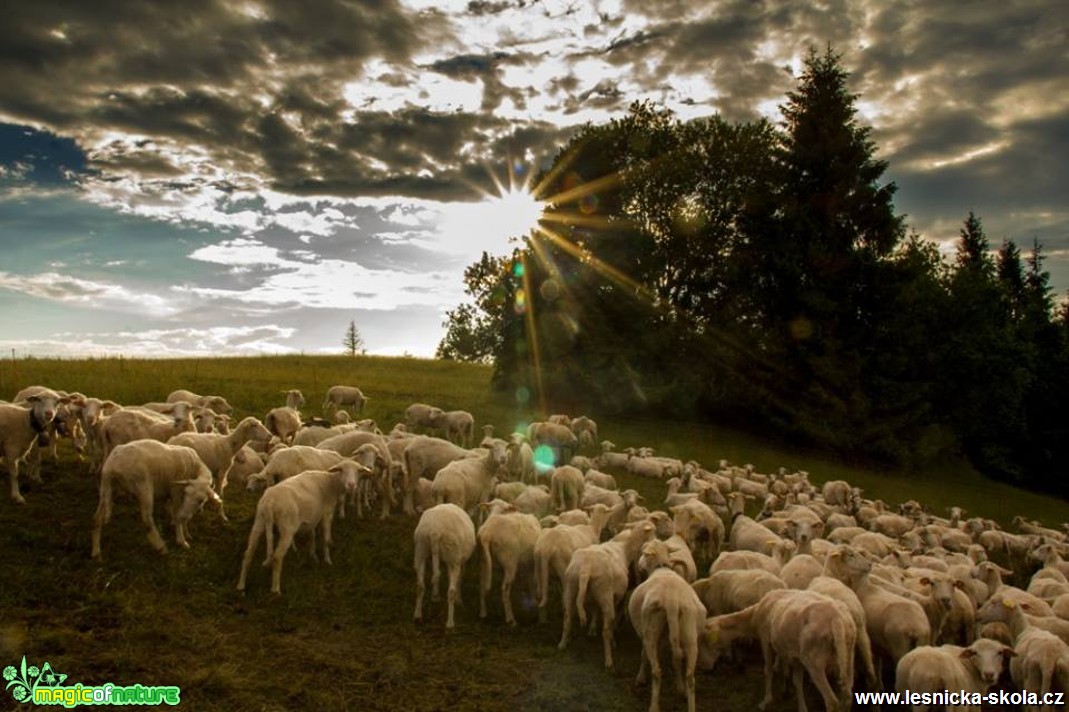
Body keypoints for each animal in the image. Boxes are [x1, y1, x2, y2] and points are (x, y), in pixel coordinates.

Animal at [91, 438, 223, 560]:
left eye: (201, 500)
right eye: (186, 494)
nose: (183, 516)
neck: (196, 466)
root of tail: (112, 465)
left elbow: (174, 512)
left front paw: (184, 530)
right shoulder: (175, 492)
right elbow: (177, 514)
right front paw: (181, 539)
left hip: (107, 489)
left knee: (97, 518)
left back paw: (96, 552)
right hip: (143, 485)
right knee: (147, 519)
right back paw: (161, 547)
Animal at [234, 455, 367, 594]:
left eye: (358, 471)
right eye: (342, 470)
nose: (351, 485)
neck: (331, 482)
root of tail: (270, 503)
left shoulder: (312, 516)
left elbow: (312, 535)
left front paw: (313, 555)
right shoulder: (327, 512)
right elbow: (326, 539)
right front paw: (328, 560)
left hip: (259, 521)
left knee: (248, 553)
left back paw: (241, 586)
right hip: (287, 528)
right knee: (277, 557)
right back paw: (275, 590)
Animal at [410, 498, 474, 628]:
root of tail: (435, 531)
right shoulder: (459, 561)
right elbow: (459, 580)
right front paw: (459, 601)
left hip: (421, 548)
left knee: (420, 585)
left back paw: (418, 615)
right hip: (453, 557)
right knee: (450, 592)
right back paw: (450, 624)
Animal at [478, 496, 543, 624]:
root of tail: (487, 534)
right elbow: (533, 581)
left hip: (484, 561)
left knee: (482, 585)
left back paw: (483, 613)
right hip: (510, 563)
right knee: (505, 589)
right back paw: (511, 619)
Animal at [624, 538, 709, 709]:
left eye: (644, 552)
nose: (639, 564)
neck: (661, 569)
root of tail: (672, 601)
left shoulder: (643, 631)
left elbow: (643, 654)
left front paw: (640, 678)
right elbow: (676, 661)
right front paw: (680, 688)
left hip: (651, 628)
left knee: (657, 671)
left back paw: (654, 707)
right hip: (690, 633)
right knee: (690, 677)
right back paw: (688, 700)